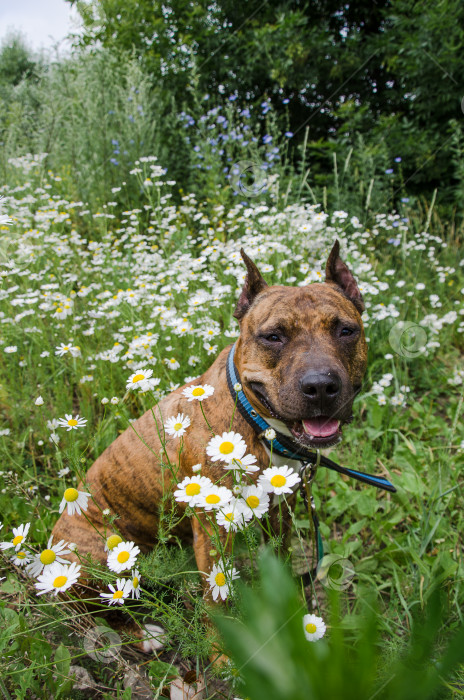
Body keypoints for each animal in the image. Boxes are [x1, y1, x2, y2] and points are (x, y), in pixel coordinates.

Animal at [52, 241, 368, 652]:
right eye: (273, 336)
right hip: (94, 559)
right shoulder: (214, 528)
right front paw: (223, 655)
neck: (257, 420)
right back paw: (144, 634)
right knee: (99, 608)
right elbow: (219, 599)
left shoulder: (280, 510)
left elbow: (280, 561)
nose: (320, 386)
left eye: (346, 330)